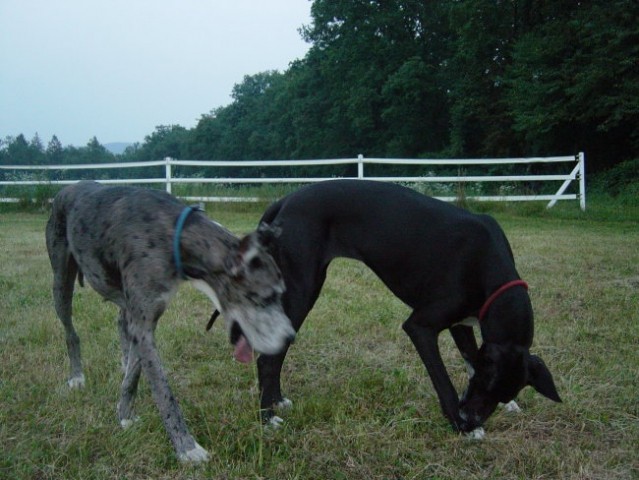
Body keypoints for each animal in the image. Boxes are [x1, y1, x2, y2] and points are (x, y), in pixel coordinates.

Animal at [46, 180, 296, 462]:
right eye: (266, 297)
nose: (291, 337)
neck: (176, 233)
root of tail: (66, 188)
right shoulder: (144, 326)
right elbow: (163, 391)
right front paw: (186, 447)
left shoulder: (144, 320)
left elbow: (134, 375)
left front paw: (124, 414)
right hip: (61, 282)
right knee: (70, 331)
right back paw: (76, 376)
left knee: (121, 322)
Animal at [255, 179, 560, 436]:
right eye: (485, 385)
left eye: (501, 393)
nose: (471, 419)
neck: (490, 267)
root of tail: (286, 199)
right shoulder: (421, 326)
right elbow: (443, 382)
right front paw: (461, 426)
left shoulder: (462, 324)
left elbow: (471, 359)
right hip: (302, 291)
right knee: (267, 358)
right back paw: (267, 419)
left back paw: (277, 402)